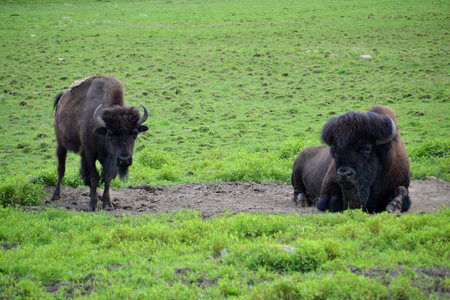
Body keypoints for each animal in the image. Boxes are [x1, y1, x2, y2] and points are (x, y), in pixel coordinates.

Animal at [50, 75, 149, 211]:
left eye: (135, 135)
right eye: (110, 135)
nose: (124, 160)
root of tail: (62, 98)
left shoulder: (110, 157)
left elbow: (107, 177)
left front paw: (107, 203)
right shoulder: (89, 153)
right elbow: (94, 177)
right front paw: (92, 205)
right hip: (61, 144)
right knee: (61, 169)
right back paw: (55, 196)